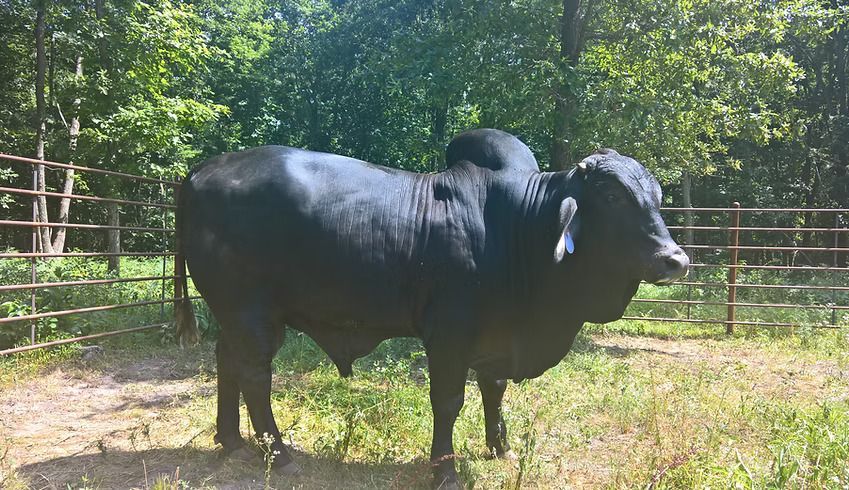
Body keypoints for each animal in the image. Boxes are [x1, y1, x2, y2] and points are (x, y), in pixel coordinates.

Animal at [173, 129, 689, 489]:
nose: (675, 259)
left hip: (234, 315)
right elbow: (448, 401)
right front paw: (445, 470)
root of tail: (199, 172)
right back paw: (278, 454)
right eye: (612, 196)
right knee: (255, 376)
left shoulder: (494, 337)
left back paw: (232, 442)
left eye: (658, 197)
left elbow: (493, 390)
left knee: (227, 362)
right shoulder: (449, 334)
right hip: (253, 313)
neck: (519, 227)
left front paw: (500, 446)